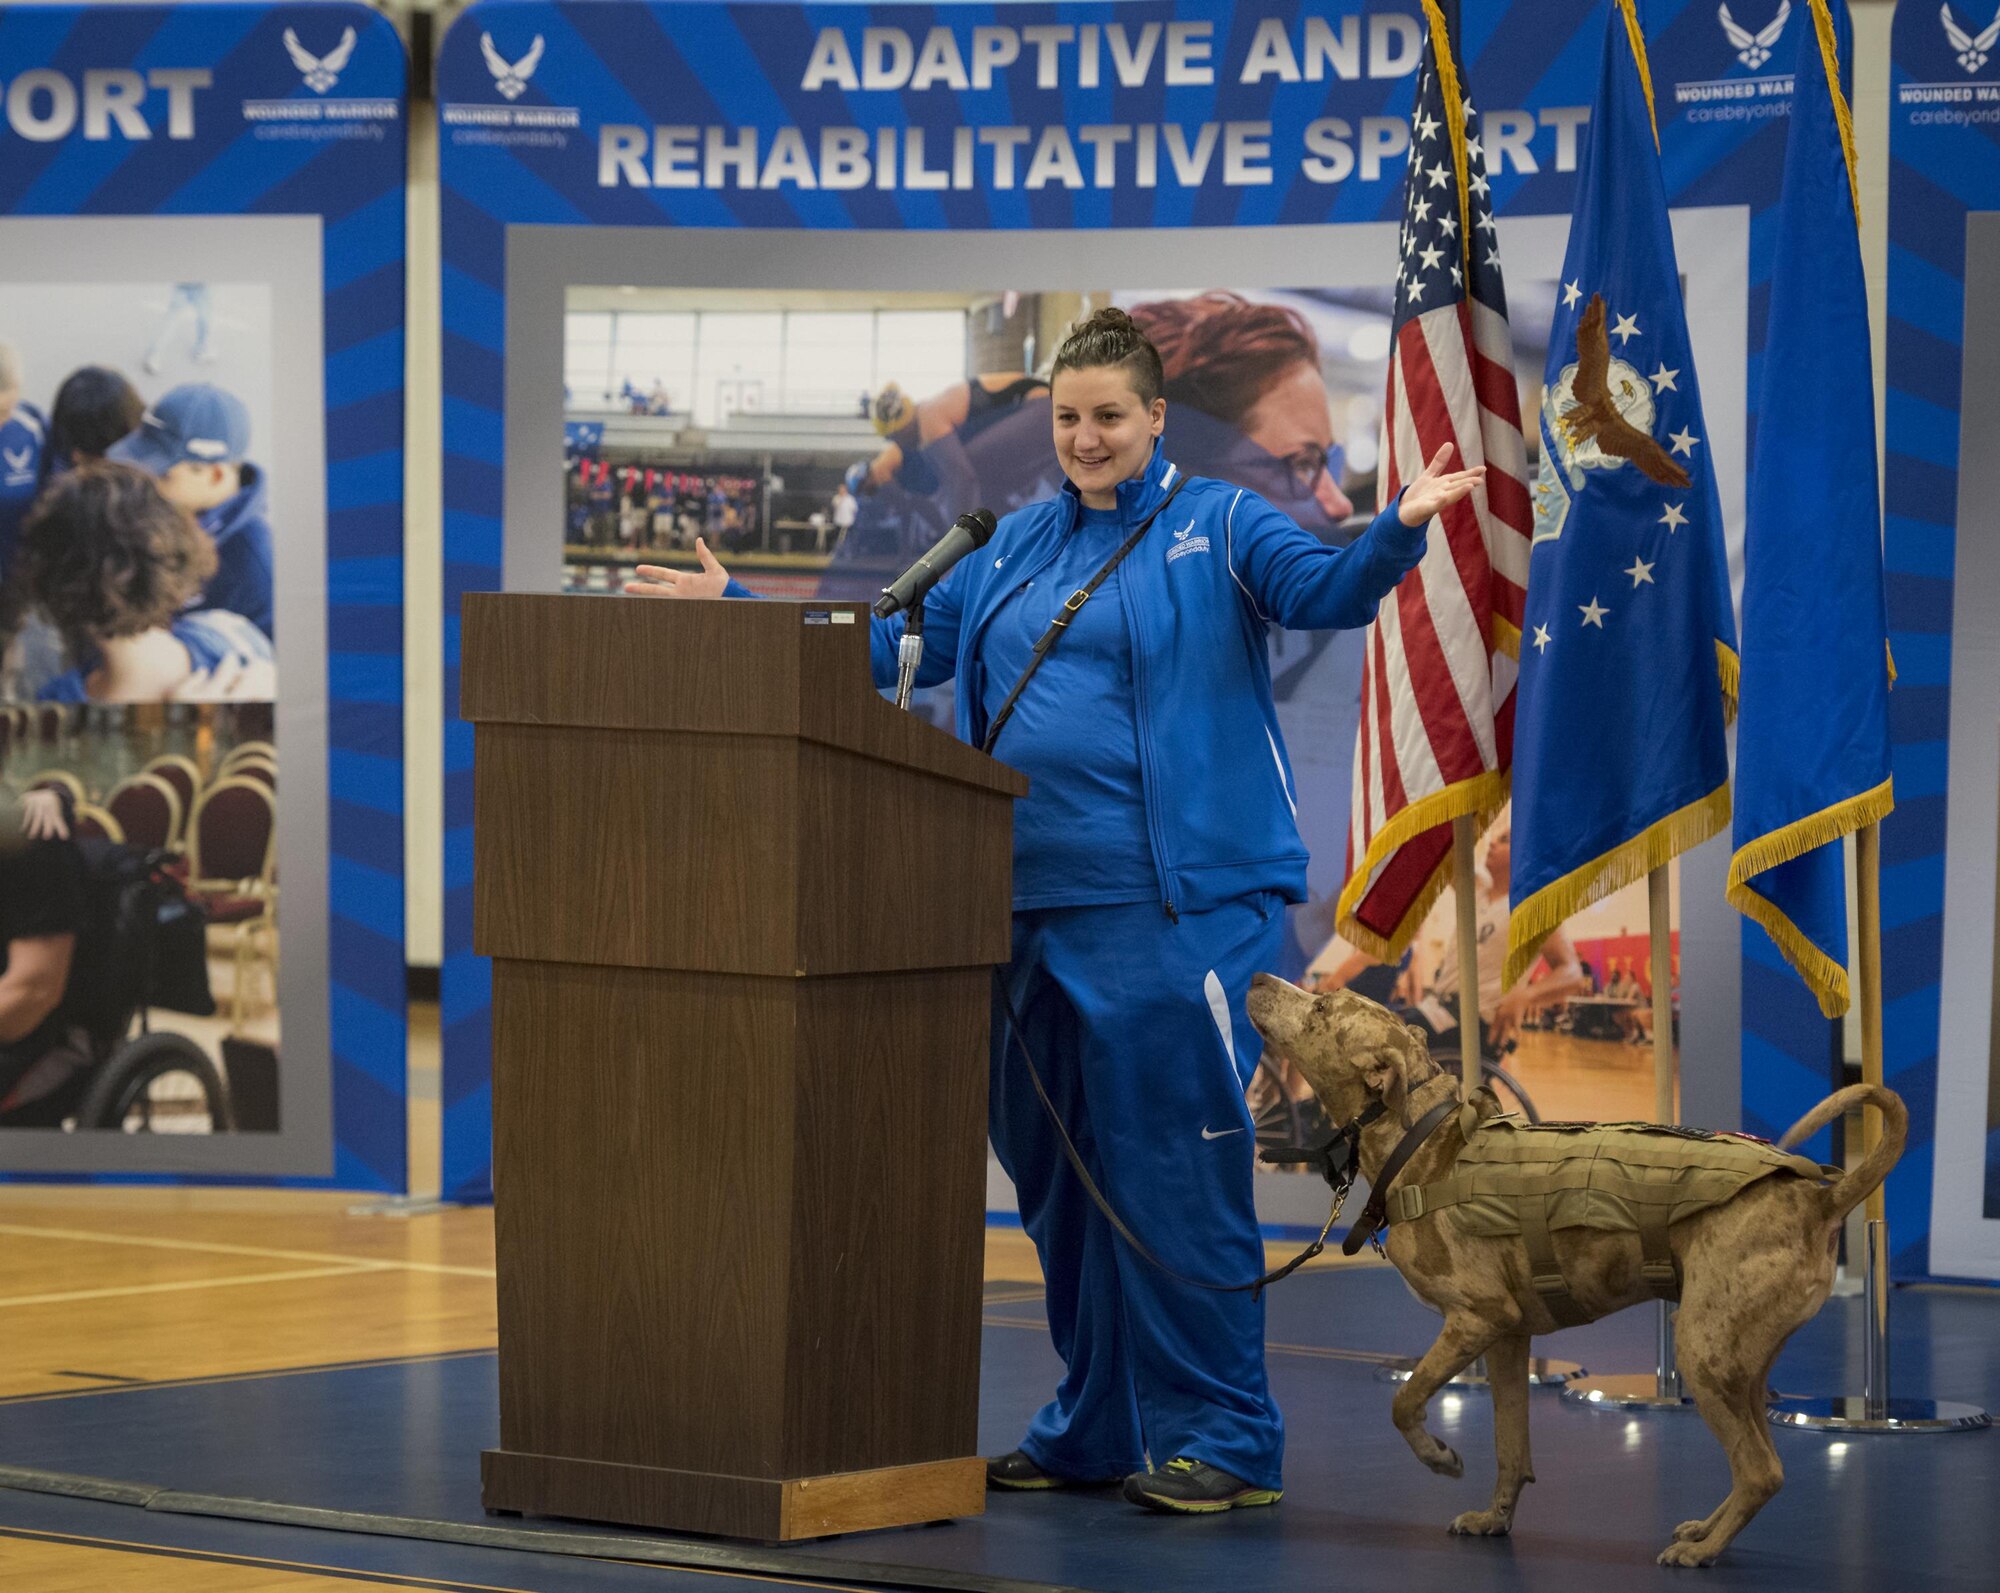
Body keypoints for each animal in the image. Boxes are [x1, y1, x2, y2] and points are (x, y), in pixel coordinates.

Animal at [1248, 972, 1904, 1568]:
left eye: (1323, 1007)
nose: (1256, 977)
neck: (1421, 1145)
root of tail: (1823, 1197)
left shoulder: (1474, 1319)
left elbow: (1404, 1401)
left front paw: (1439, 1456)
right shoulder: (1506, 1336)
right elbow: (1511, 1447)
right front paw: (1495, 1519)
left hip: (1703, 1352)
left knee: (1762, 1470)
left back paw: (1704, 1551)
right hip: (1738, 1362)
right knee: (1762, 1460)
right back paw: (1704, 1530)